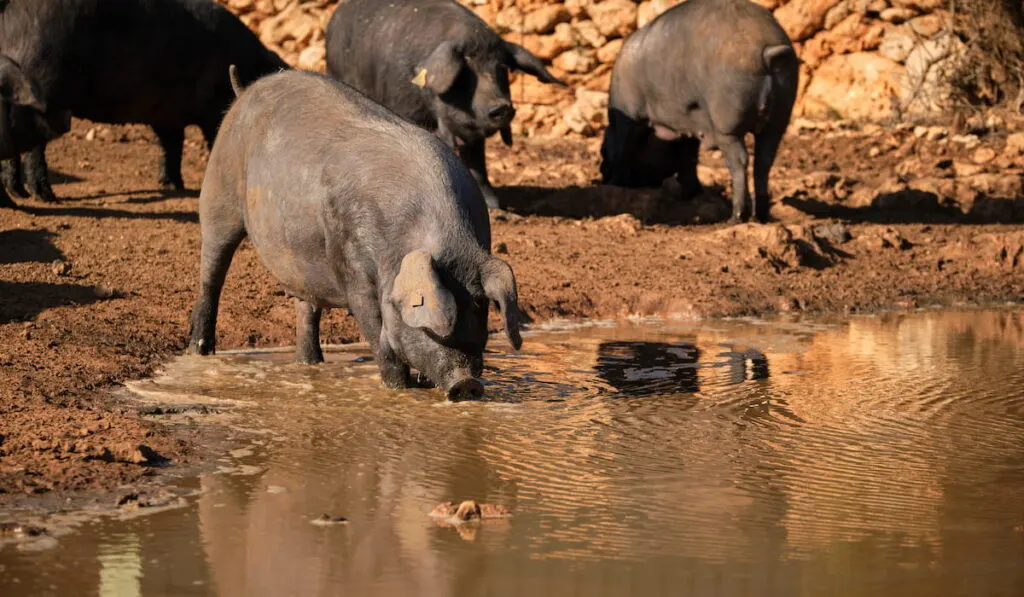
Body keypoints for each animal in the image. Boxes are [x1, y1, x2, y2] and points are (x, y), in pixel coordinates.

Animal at [0, 0, 286, 207]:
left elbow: (172, 145)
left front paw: (172, 185)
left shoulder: (168, 115)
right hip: (42, 82)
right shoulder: (211, 109)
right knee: (34, 141)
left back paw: (18, 193)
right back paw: (46, 197)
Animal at [188, 70, 528, 403]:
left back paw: (311, 363)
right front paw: (399, 389)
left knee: (306, 310)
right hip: (219, 191)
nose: (468, 384)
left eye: (480, 306)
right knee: (212, 272)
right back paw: (199, 350)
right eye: (439, 319)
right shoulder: (353, 268)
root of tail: (245, 91)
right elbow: (378, 334)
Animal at [325, 0, 569, 212]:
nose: (502, 107)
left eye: (501, 67)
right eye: (465, 71)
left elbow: (478, 163)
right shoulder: (403, 107)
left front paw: (494, 207)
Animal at [598, 0, 798, 224]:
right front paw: (692, 194)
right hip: (780, 116)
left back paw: (735, 218)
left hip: (727, 123)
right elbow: (689, 157)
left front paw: (616, 185)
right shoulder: (689, 126)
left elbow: (624, 150)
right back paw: (761, 217)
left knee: (740, 160)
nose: (601, 175)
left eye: (603, 150)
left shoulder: (631, 117)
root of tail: (766, 49)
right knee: (764, 161)